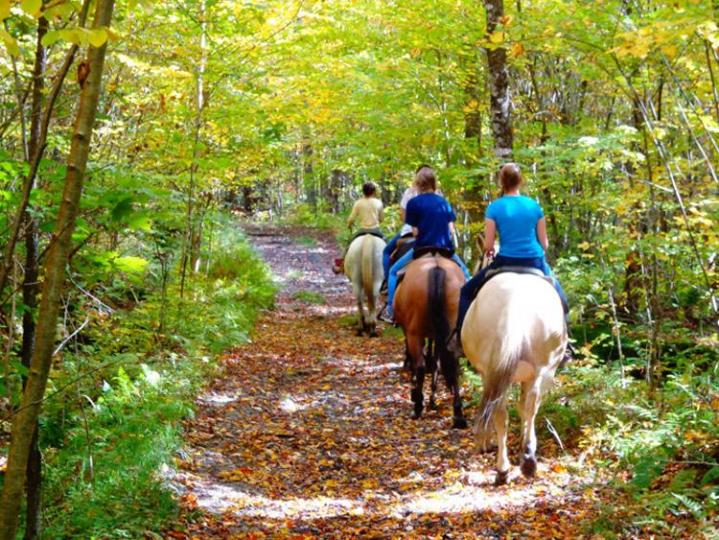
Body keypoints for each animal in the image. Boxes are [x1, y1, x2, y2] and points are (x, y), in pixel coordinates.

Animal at [394, 253, 467, 429]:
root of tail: (436, 268)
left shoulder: (410, 332)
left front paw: (416, 393)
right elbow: (436, 364)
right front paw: (433, 399)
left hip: (415, 333)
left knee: (420, 366)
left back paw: (417, 407)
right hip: (451, 329)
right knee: (452, 365)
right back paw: (458, 415)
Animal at [461, 270, 567, 485]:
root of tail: (513, 303)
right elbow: (523, 408)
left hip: (494, 372)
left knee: (501, 413)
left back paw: (505, 467)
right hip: (540, 370)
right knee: (528, 407)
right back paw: (525, 460)